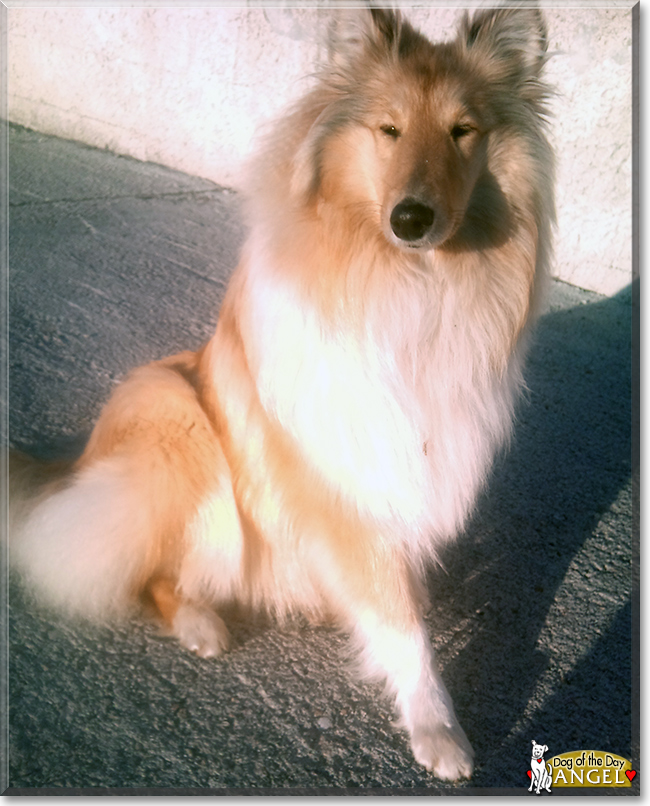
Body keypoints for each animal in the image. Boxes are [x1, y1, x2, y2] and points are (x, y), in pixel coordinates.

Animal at [8, 4, 552, 784]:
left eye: (463, 129)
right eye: (388, 129)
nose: (411, 219)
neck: (411, 284)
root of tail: (76, 465)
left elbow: (394, 592)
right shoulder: (348, 470)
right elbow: (401, 621)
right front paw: (436, 727)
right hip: (176, 417)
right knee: (145, 569)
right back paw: (201, 621)